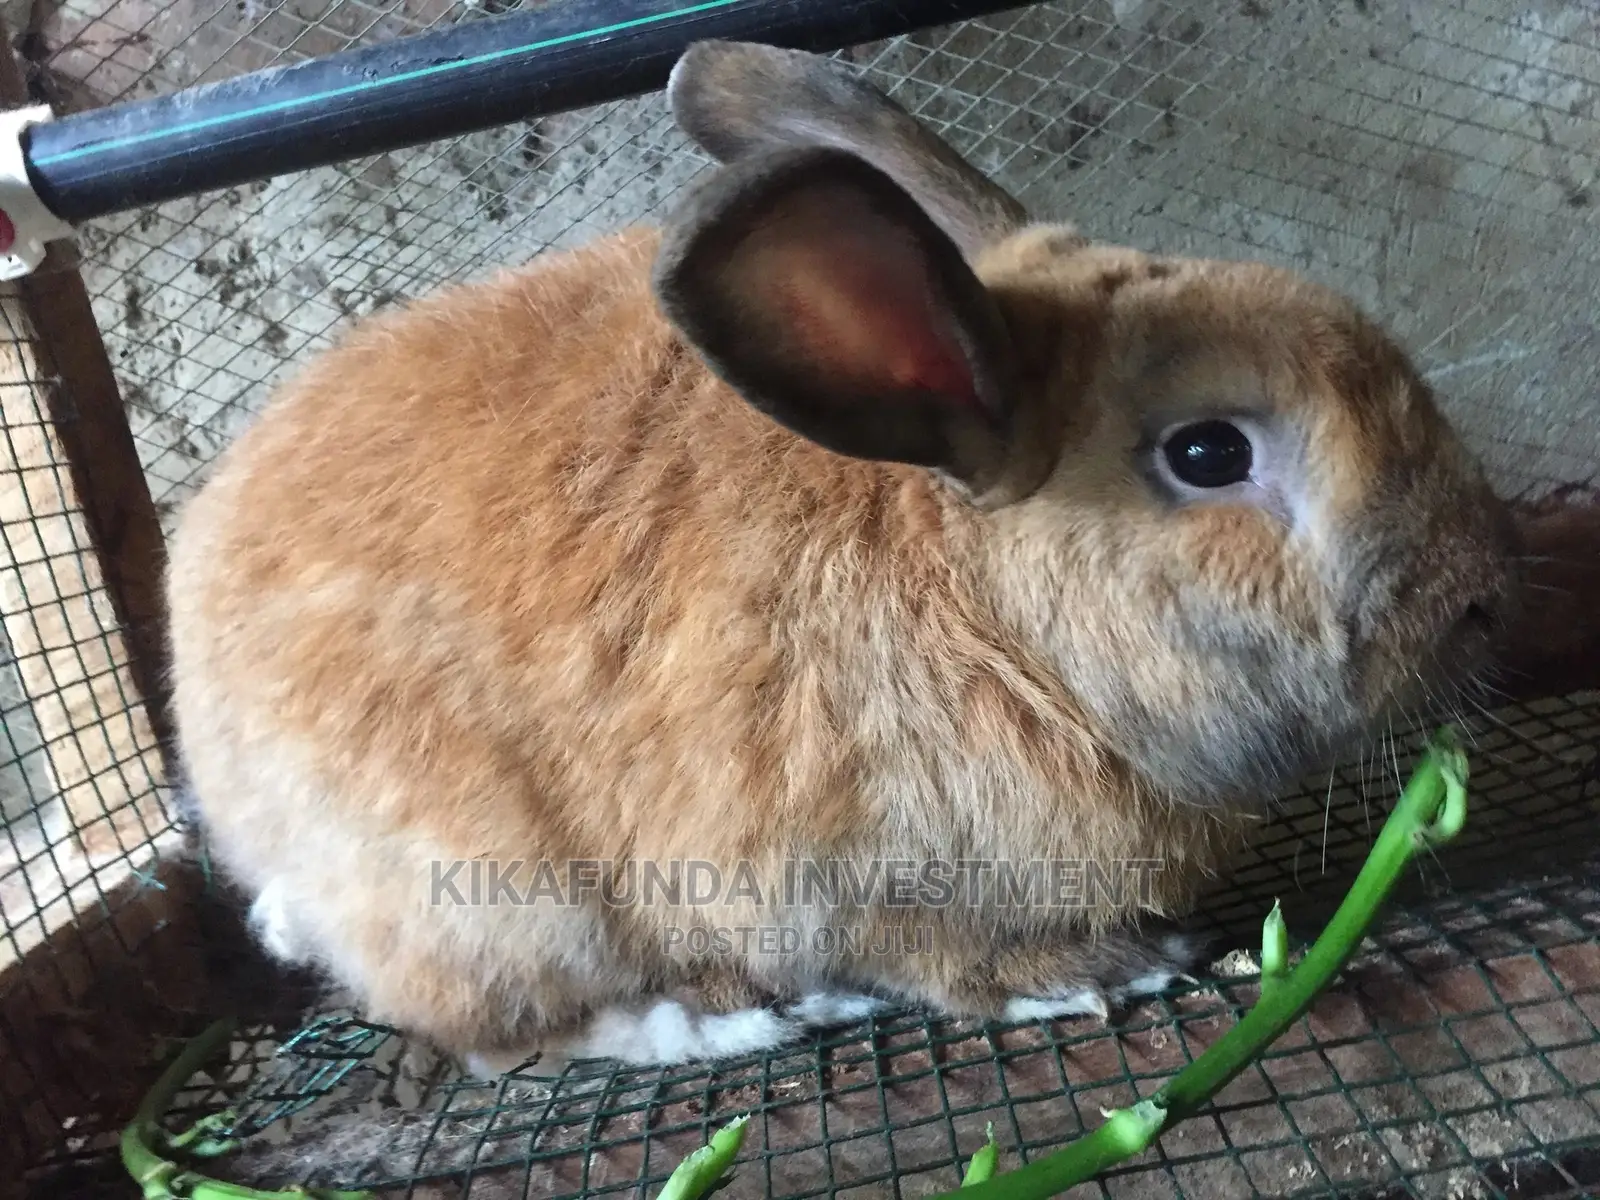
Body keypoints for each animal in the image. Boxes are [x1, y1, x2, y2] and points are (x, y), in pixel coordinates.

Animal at [164, 39, 1519, 1077]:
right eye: (1206, 452)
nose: (1483, 588)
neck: (997, 619)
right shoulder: (855, 883)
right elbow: (950, 964)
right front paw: (1103, 971)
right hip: (502, 904)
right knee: (507, 1037)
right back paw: (724, 1022)